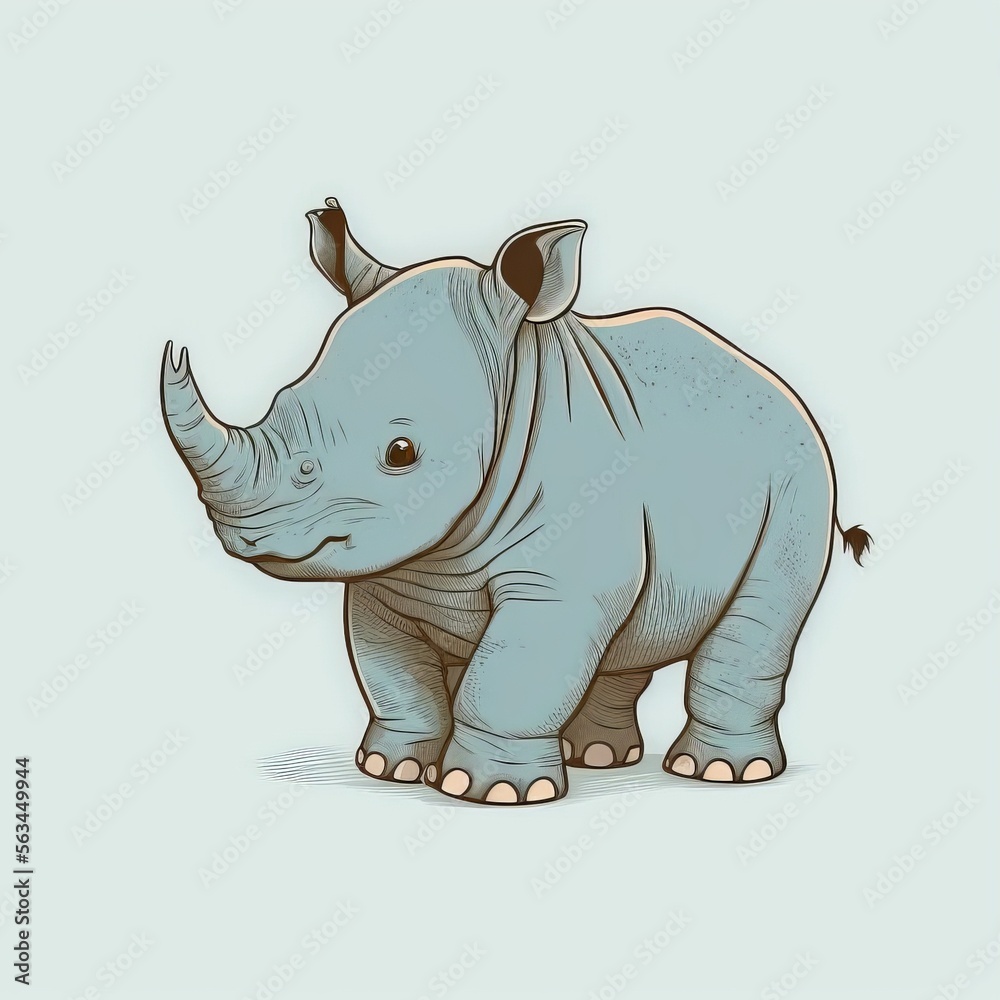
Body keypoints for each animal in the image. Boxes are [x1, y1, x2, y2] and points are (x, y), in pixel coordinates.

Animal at [161, 198, 870, 806]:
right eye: (280, 401)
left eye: (401, 451)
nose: (248, 534)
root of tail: (775, 382)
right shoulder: (389, 573)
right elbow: (394, 672)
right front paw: (392, 769)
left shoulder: (555, 583)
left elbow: (511, 675)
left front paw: (490, 791)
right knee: (632, 632)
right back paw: (600, 758)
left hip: (800, 482)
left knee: (757, 617)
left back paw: (721, 773)